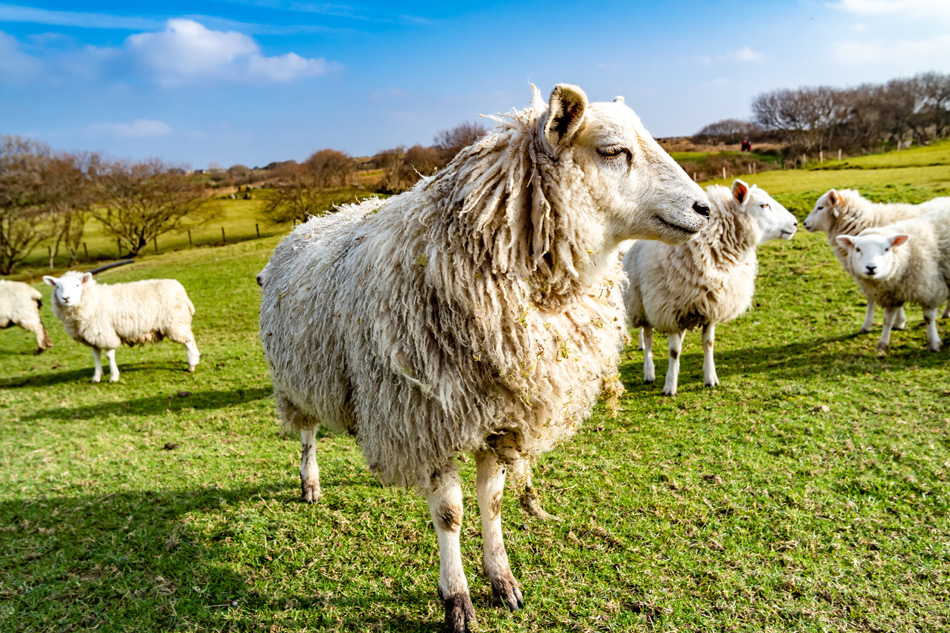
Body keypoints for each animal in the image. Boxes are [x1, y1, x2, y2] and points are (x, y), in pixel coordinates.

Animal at [43, 270, 200, 382]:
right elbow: (96, 356)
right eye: (57, 286)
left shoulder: (105, 333)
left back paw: (191, 365)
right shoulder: (93, 335)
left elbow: (108, 355)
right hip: (180, 322)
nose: (66, 298)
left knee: (188, 342)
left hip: (175, 322)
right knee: (191, 337)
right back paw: (196, 359)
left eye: (77, 285)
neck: (93, 300)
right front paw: (96, 377)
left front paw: (113, 377)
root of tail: (179, 288)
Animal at [256, 85, 712, 632]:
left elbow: (491, 503)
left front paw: (503, 581)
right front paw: (456, 599)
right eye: (612, 150)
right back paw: (310, 484)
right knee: (306, 434)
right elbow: (450, 515)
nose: (705, 208)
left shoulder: (501, 416)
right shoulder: (428, 419)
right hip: (297, 379)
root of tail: (308, 222)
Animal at [624, 178, 796, 396]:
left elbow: (708, 343)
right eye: (764, 205)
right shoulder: (669, 309)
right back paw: (649, 373)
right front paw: (670, 386)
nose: (795, 223)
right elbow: (674, 352)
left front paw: (710, 378)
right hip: (642, 305)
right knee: (647, 339)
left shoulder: (710, 306)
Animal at [836, 210, 950, 354]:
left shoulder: (931, 291)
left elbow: (928, 318)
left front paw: (933, 344)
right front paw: (882, 344)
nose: (871, 267)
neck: (908, 254)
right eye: (857, 249)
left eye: (886, 249)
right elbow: (887, 320)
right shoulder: (891, 296)